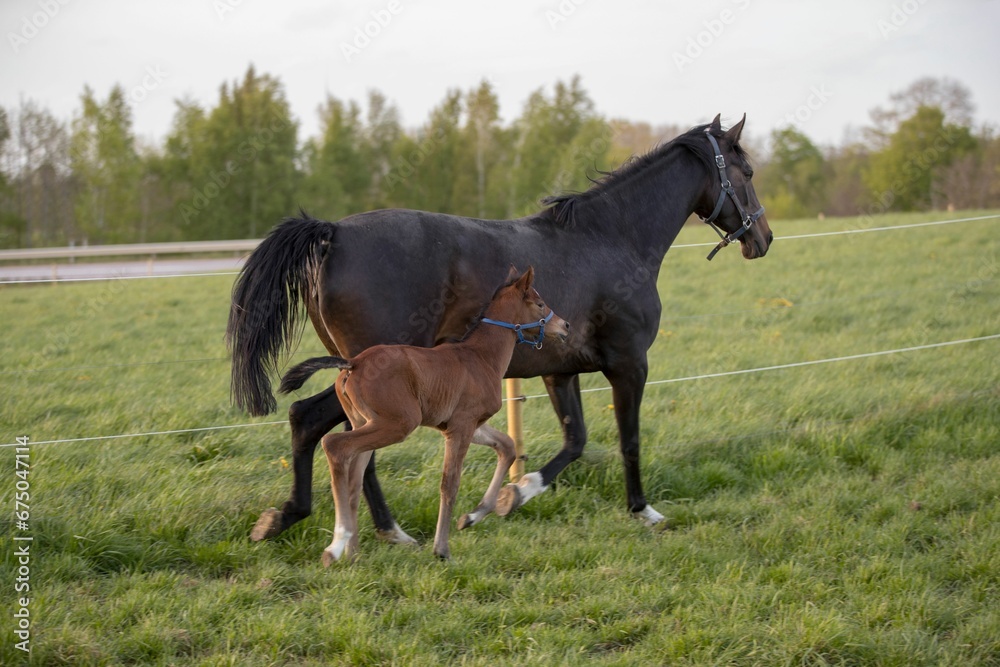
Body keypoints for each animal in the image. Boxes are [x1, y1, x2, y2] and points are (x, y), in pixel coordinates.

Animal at [278, 268, 572, 564]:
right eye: (540, 304)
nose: (565, 326)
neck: (480, 356)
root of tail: (353, 363)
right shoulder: (462, 426)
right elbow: (449, 484)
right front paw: (442, 549)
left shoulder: (466, 425)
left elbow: (508, 446)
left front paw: (472, 516)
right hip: (397, 424)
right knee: (334, 445)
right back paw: (336, 546)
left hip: (364, 422)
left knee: (353, 479)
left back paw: (353, 552)